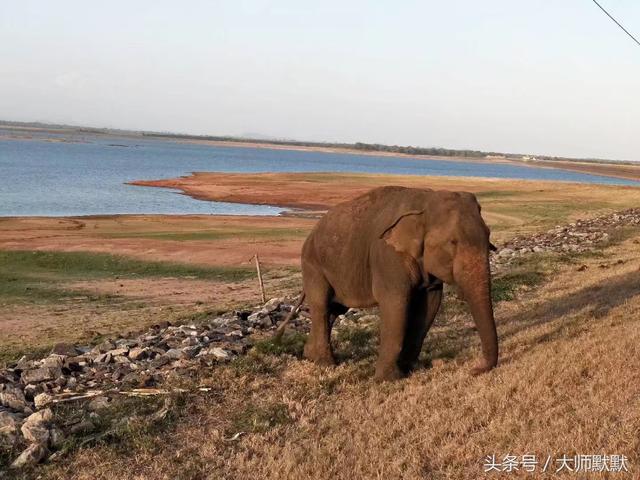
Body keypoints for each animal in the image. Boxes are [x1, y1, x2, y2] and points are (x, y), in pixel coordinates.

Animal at [282, 186, 498, 380]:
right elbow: (395, 303)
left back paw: (310, 356)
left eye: (488, 236)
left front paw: (410, 368)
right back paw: (326, 363)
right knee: (321, 305)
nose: (474, 369)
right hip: (313, 264)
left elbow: (430, 304)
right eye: (452, 242)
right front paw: (387, 378)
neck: (426, 200)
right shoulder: (387, 256)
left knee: (334, 310)